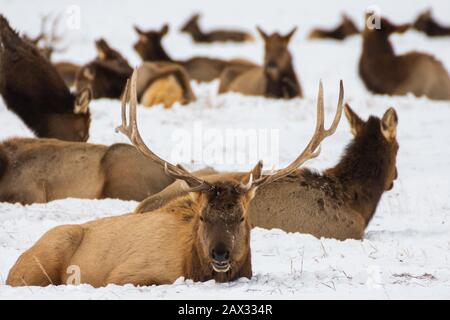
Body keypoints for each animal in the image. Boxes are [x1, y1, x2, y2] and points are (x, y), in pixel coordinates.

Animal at [6, 70, 342, 288]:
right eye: (203, 216)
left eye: (242, 217)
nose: (220, 254)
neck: (191, 263)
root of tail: (13, 266)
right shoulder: (126, 275)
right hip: (42, 260)